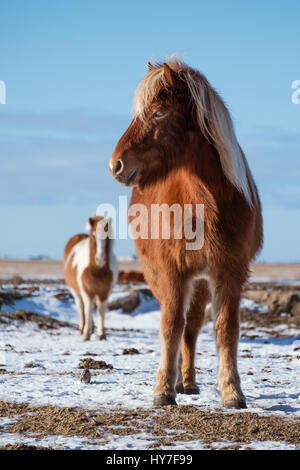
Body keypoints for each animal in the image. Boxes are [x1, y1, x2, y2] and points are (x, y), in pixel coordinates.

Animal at [109, 58, 262, 408]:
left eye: (158, 113)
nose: (116, 165)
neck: (205, 204)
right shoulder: (171, 271)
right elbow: (170, 326)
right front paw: (163, 390)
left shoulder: (230, 272)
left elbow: (225, 329)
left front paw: (232, 392)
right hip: (162, 277)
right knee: (179, 323)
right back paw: (178, 381)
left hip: (201, 282)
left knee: (191, 328)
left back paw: (188, 382)